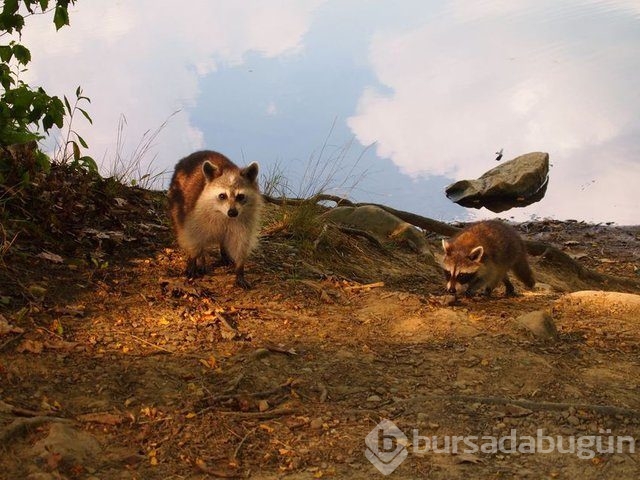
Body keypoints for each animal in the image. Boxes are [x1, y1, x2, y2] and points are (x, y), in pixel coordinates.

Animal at [169, 150, 264, 286]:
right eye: (222, 196)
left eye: (240, 196)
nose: (232, 212)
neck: (224, 215)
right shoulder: (195, 215)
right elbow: (193, 237)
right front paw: (193, 259)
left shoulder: (245, 221)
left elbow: (241, 243)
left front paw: (240, 269)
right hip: (177, 201)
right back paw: (201, 258)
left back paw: (223, 251)